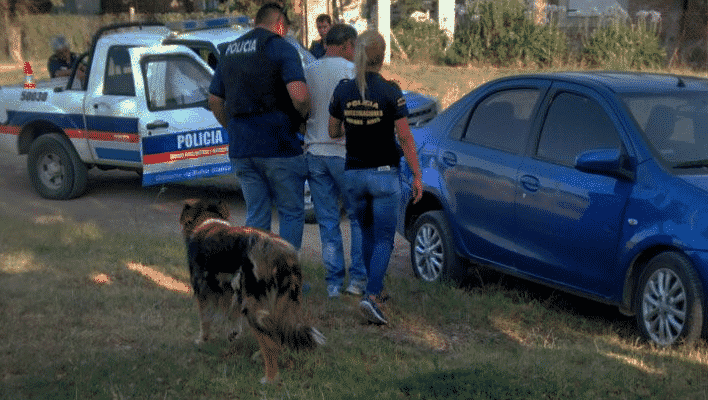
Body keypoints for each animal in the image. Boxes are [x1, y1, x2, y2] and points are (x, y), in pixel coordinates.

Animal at [181, 198, 328, 382]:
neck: (208, 221)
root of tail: (281, 254)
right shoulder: (233, 289)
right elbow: (232, 315)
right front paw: (233, 333)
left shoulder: (203, 291)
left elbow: (205, 320)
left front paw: (202, 341)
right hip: (280, 303)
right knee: (277, 335)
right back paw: (261, 357)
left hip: (253, 306)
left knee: (271, 344)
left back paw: (269, 379)